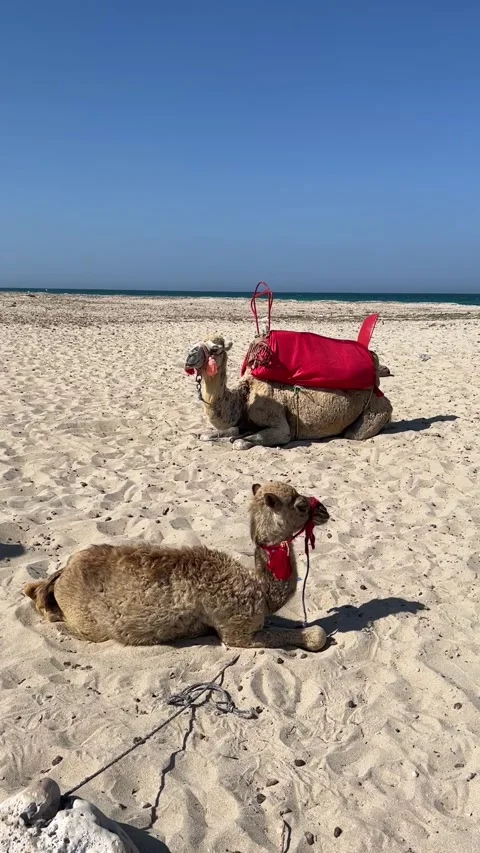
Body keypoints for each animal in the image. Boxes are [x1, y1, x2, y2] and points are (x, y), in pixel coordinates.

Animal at [23, 482, 329, 651]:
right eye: (301, 505)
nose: (324, 510)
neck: (260, 591)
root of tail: (64, 575)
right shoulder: (235, 630)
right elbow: (315, 635)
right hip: (87, 624)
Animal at [185, 335, 393, 449]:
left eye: (215, 349)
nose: (190, 356)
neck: (244, 397)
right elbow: (216, 434)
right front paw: (204, 434)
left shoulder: (279, 425)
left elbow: (240, 442)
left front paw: (239, 439)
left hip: (373, 412)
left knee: (355, 433)